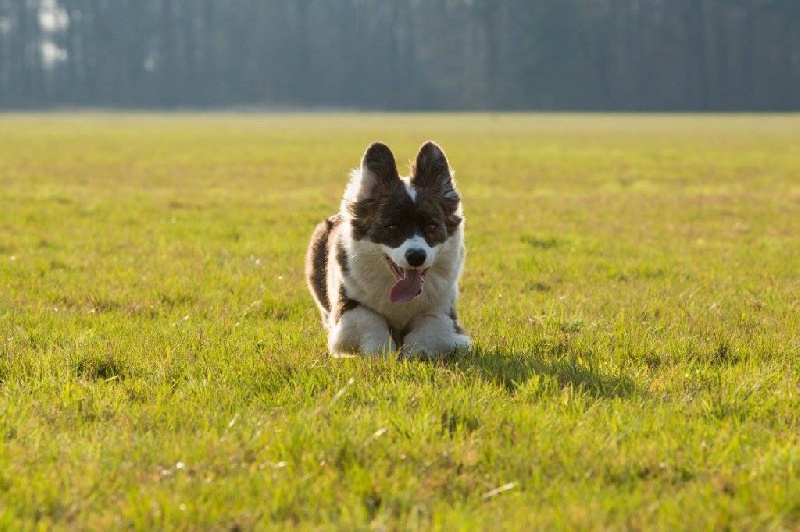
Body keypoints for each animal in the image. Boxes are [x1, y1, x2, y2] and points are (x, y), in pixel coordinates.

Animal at [304, 141, 468, 358]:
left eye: (432, 226)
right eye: (392, 226)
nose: (416, 256)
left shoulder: (443, 311)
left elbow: (431, 330)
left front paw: (413, 353)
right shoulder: (348, 307)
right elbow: (369, 321)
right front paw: (383, 353)